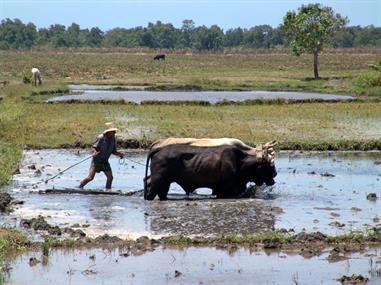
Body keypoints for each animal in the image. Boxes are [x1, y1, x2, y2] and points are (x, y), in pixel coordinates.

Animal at [142, 138, 276, 200]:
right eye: (270, 165)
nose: (275, 174)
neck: (240, 161)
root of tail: (158, 147)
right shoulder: (222, 190)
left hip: (165, 182)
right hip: (158, 180)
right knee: (149, 191)